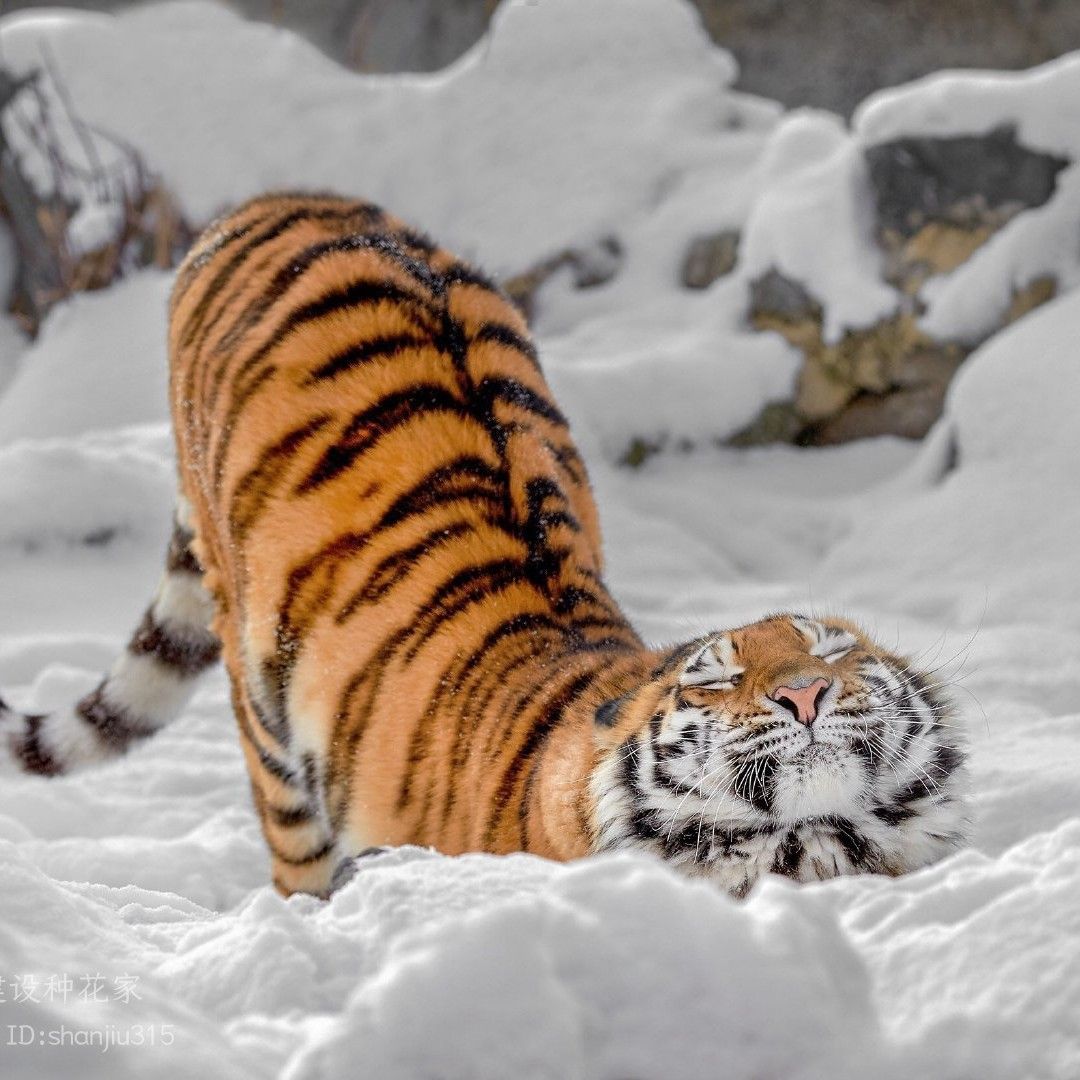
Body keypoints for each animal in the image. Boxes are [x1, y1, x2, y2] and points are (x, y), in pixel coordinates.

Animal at [0, 192, 967, 894]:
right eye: (716, 678)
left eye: (833, 653)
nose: (805, 694)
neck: (811, 842)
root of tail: (283, 197)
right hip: (260, 690)